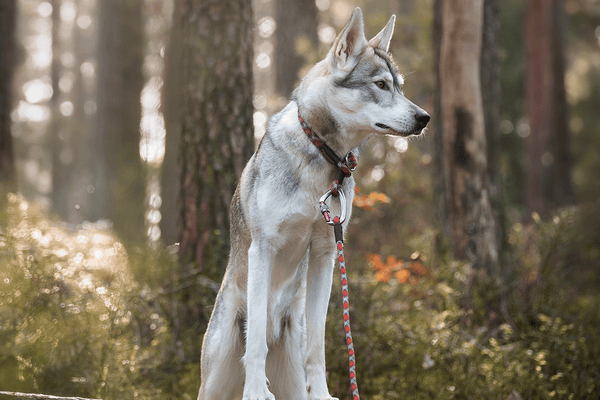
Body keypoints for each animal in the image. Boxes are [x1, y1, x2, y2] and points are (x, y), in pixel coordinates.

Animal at [199, 7, 428, 400]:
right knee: (252, 341)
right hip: (213, 376)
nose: (424, 117)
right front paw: (257, 392)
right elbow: (255, 343)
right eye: (381, 85)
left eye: (400, 86)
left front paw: (321, 393)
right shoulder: (264, 248)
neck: (323, 158)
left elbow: (318, 347)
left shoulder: (326, 252)